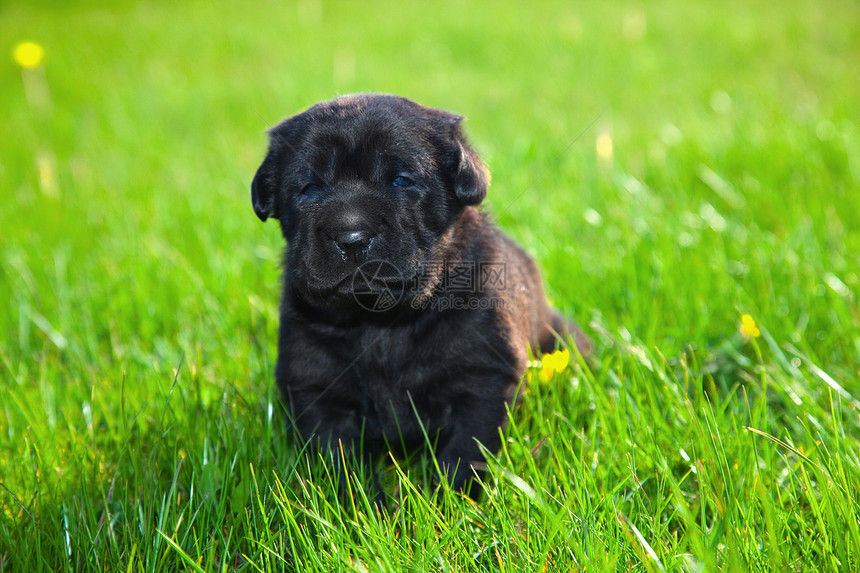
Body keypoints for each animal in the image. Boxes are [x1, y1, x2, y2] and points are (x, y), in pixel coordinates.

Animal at [252, 94, 588, 500]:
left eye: (401, 181)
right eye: (309, 188)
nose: (351, 237)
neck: (381, 322)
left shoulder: (483, 381)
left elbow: (465, 452)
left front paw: (449, 505)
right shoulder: (316, 389)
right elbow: (340, 462)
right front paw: (364, 509)